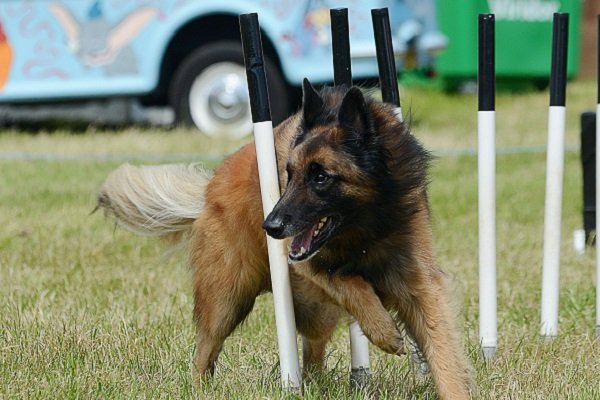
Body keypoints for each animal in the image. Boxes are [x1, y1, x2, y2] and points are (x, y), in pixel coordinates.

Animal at [97, 79, 474, 398]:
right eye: (289, 175)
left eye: (321, 177)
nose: (272, 227)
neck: (365, 226)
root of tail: (209, 188)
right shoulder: (308, 264)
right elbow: (348, 280)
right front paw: (383, 330)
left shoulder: (419, 283)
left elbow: (443, 352)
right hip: (226, 299)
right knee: (204, 353)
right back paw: (201, 389)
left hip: (314, 311)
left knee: (312, 354)